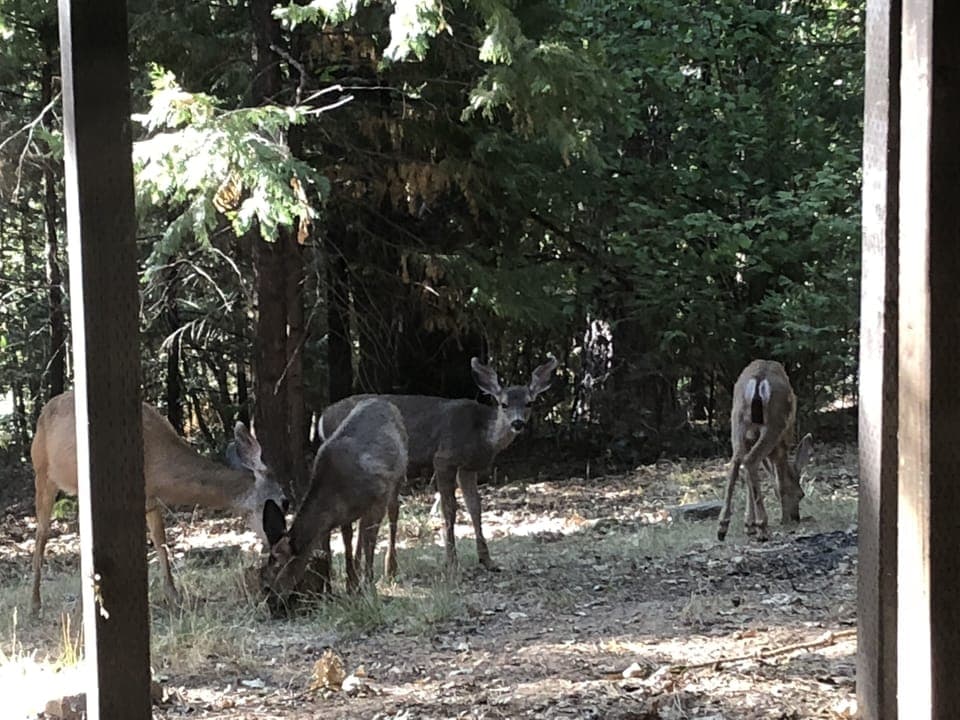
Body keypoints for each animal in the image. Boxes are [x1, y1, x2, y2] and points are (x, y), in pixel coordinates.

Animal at [30, 390, 289, 615]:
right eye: (285, 502)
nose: (281, 543)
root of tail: (43, 412)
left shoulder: (151, 498)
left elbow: (160, 540)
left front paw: (174, 596)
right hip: (42, 473)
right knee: (42, 532)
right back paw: (35, 604)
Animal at [259, 398, 407, 615]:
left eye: (267, 585)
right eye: (262, 580)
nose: (271, 605)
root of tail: (384, 402)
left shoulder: (378, 495)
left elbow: (370, 542)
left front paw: (369, 587)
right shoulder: (338, 518)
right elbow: (338, 546)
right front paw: (341, 588)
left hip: (399, 476)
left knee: (393, 515)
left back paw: (390, 570)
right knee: (360, 530)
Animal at [318, 356, 558, 573]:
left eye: (529, 403)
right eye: (504, 404)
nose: (517, 423)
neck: (481, 435)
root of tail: (321, 417)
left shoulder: (467, 467)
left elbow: (475, 507)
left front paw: (488, 561)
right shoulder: (444, 457)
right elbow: (448, 508)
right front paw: (452, 563)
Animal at [717, 359, 814, 542]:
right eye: (801, 494)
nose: (796, 518)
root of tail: (759, 379)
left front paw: (748, 525)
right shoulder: (782, 442)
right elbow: (780, 479)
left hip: (737, 420)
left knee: (737, 462)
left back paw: (722, 527)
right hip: (774, 422)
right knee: (750, 460)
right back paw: (763, 528)